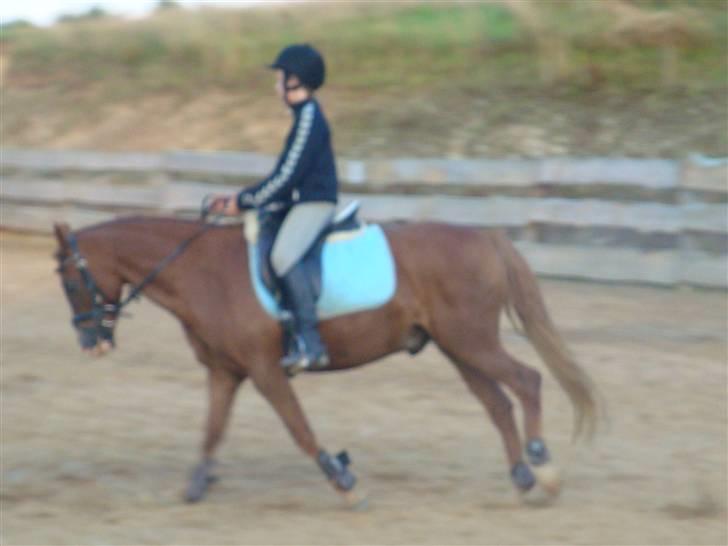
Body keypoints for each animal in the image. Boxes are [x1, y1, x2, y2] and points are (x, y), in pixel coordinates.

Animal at [52, 213, 597, 506]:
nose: (91, 343)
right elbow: (212, 429)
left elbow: (299, 428)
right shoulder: (226, 372)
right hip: (458, 347)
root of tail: (484, 236)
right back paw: (522, 476)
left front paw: (344, 480)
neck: (202, 272)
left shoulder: (265, 370)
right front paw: (197, 484)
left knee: (527, 382)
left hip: (471, 341)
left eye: (70, 282)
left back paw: (543, 468)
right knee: (497, 402)